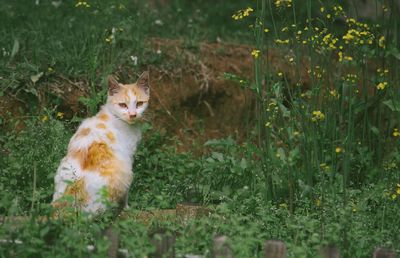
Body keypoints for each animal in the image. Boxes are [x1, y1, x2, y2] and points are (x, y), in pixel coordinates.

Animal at [51, 71, 148, 217]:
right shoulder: (128, 157)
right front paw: (127, 207)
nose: (133, 114)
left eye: (139, 104)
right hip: (124, 173)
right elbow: (127, 195)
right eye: (123, 105)